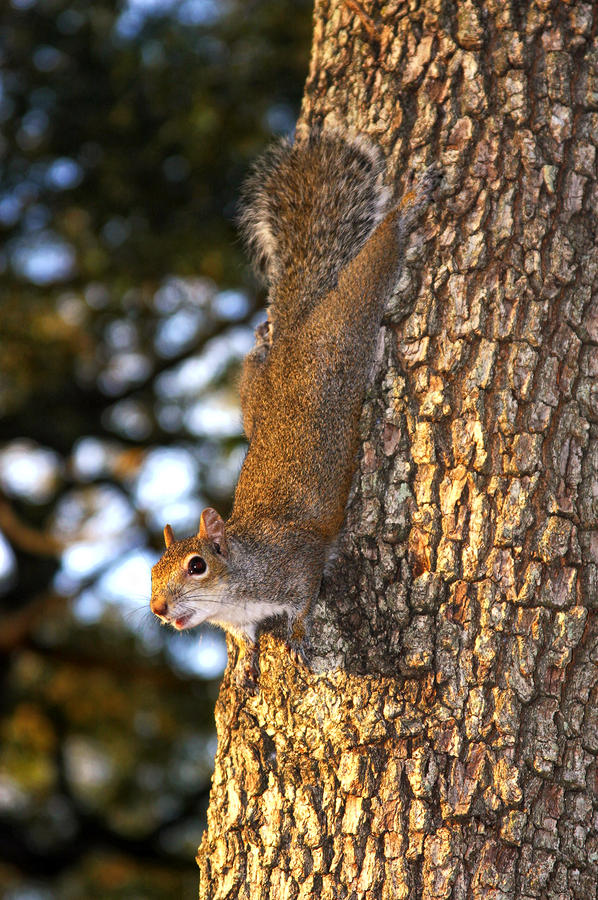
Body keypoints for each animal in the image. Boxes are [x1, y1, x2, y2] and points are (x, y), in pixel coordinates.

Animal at [150, 132, 440, 684]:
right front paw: (247, 661)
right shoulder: (241, 619)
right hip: (253, 397)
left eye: (196, 565)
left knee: (372, 268)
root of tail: (296, 338)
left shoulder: (296, 568)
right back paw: (260, 339)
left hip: (346, 326)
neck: (239, 586)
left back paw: (408, 206)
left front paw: (300, 636)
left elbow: (305, 603)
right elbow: (246, 639)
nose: (157, 608)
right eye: (151, 571)